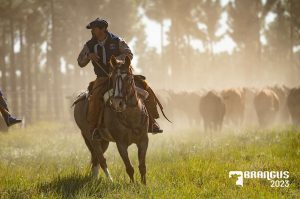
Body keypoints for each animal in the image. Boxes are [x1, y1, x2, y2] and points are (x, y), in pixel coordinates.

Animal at [74, 55, 149, 184]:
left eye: (128, 79)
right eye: (113, 79)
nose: (117, 103)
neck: (131, 117)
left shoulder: (143, 141)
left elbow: (142, 166)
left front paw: (144, 185)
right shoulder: (121, 144)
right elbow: (129, 168)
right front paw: (133, 185)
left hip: (104, 141)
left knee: (96, 159)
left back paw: (94, 179)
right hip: (92, 138)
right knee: (101, 160)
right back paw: (110, 180)